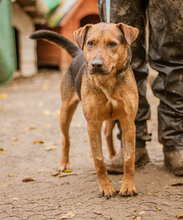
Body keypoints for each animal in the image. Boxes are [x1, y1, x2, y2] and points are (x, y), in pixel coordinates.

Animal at [29, 21, 139, 198]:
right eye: (90, 43)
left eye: (112, 44)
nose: (96, 65)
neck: (107, 82)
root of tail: (78, 53)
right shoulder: (92, 125)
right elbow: (99, 160)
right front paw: (105, 187)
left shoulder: (128, 123)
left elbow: (129, 159)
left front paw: (128, 186)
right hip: (65, 112)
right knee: (65, 139)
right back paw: (64, 163)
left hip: (112, 117)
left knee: (107, 133)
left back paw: (113, 155)